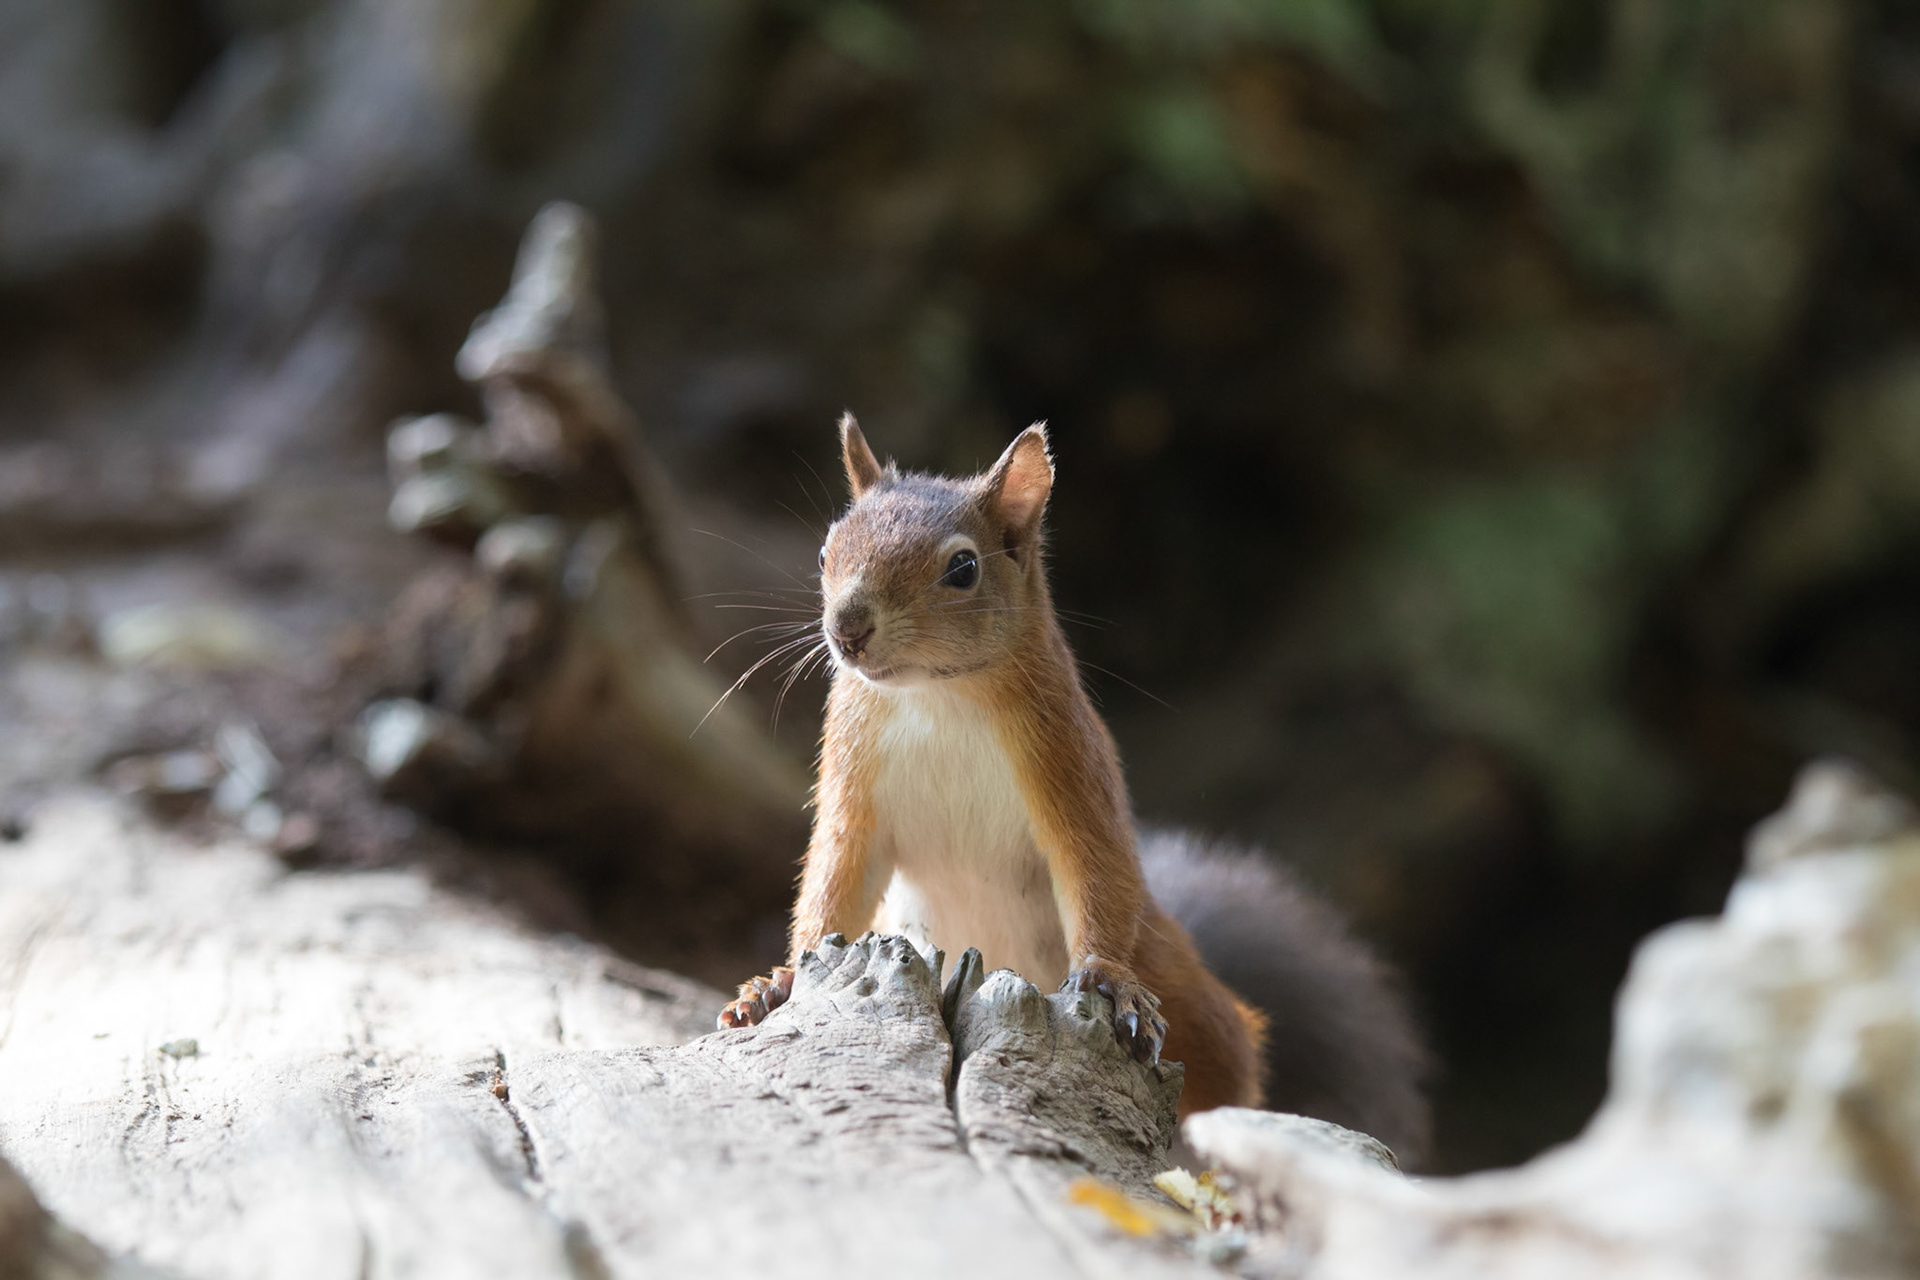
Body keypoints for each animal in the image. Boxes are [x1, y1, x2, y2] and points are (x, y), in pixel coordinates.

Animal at [719, 416, 1429, 1155]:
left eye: (962, 569)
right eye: (828, 547)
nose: (849, 630)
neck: (935, 698)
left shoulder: (1067, 760)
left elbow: (1094, 861)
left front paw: (1108, 980)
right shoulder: (852, 780)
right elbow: (837, 875)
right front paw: (778, 982)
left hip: (1189, 997)